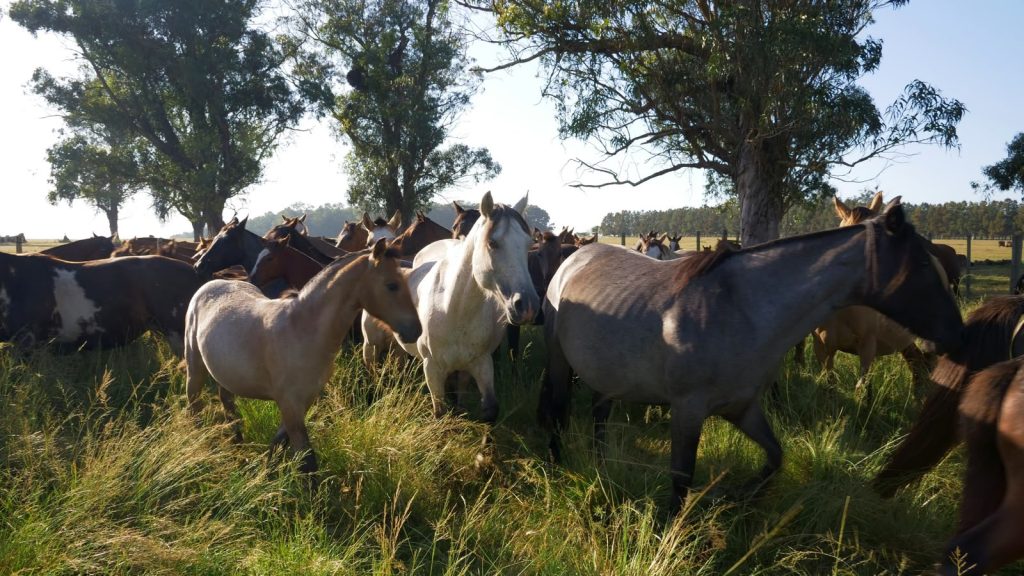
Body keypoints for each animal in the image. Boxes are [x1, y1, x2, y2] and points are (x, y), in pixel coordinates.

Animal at [185, 239, 421, 473]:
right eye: (392, 285)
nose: (416, 330)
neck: (301, 330)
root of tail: (209, 284)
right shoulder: (290, 403)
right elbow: (307, 460)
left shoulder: (304, 400)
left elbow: (280, 444)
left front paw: (267, 471)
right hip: (194, 367)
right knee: (194, 405)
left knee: (228, 405)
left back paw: (237, 445)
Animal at [369, 192, 539, 422]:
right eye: (492, 243)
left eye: (529, 244)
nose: (527, 306)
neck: (454, 309)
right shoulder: (432, 369)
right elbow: (439, 412)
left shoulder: (482, 364)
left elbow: (490, 409)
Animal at [540, 198, 963, 515]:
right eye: (922, 264)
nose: (957, 335)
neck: (739, 309)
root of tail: (575, 257)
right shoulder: (688, 410)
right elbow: (680, 478)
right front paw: (668, 533)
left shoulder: (742, 408)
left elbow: (775, 457)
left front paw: (739, 497)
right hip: (560, 360)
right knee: (558, 409)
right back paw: (557, 465)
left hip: (608, 374)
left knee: (600, 412)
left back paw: (602, 464)